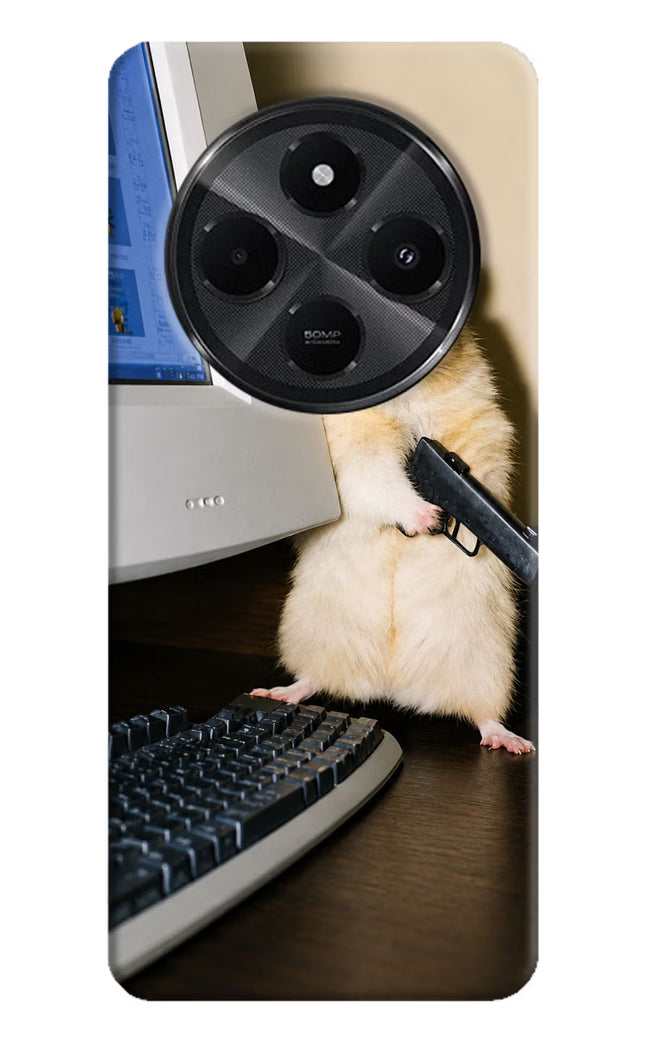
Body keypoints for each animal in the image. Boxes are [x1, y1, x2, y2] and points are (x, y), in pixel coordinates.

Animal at [252, 324, 534, 754]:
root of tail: (392, 686)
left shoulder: (481, 428)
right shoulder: (355, 451)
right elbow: (380, 481)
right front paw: (427, 518)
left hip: (487, 662)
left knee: (484, 714)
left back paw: (512, 742)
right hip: (315, 634)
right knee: (314, 678)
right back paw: (274, 693)